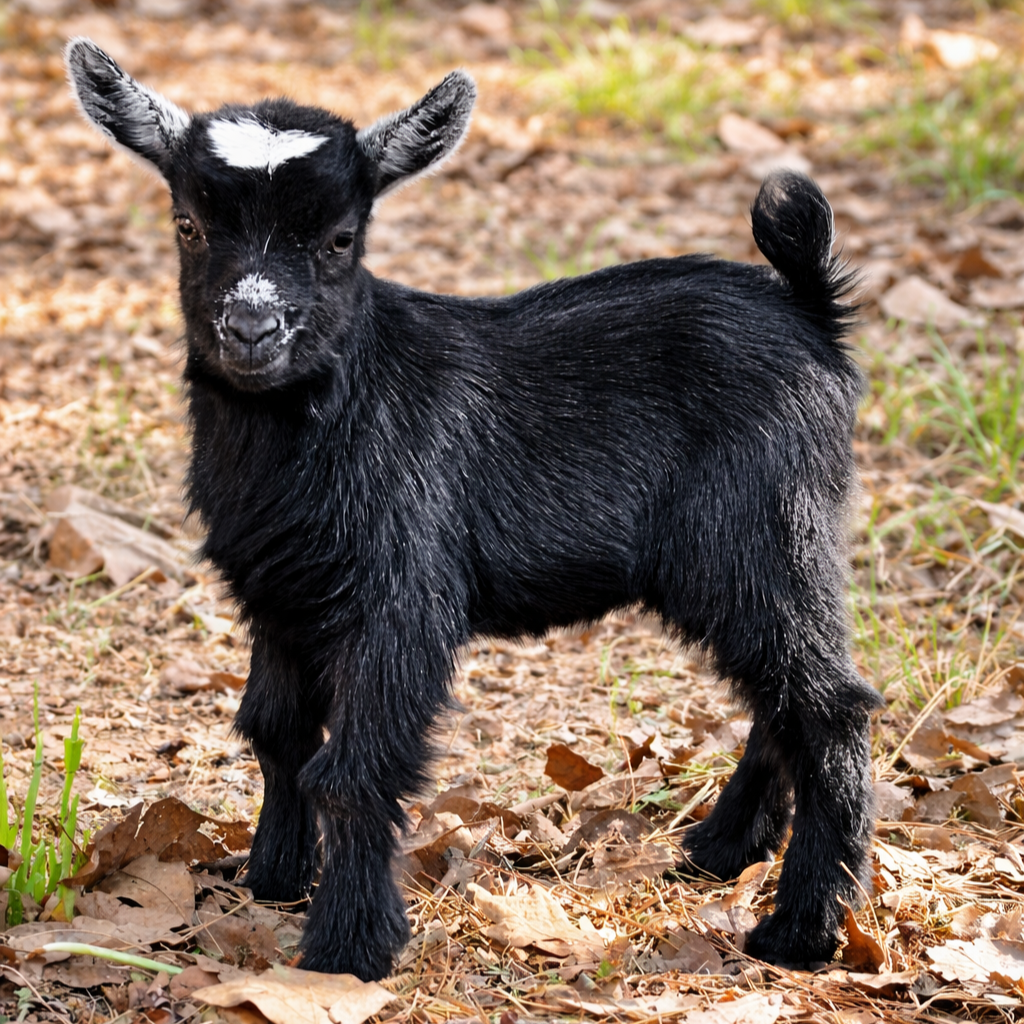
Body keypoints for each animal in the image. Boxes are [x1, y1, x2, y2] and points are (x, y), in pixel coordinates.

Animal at [67, 38, 883, 981]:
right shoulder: (280, 595)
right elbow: (277, 733)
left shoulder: (401, 599)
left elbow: (355, 767)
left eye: (341, 239)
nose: (251, 331)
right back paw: (718, 851)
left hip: (762, 535)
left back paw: (801, 930)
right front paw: (273, 879)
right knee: (779, 698)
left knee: (827, 706)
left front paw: (347, 947)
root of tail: (810, 311)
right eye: (189, 227)